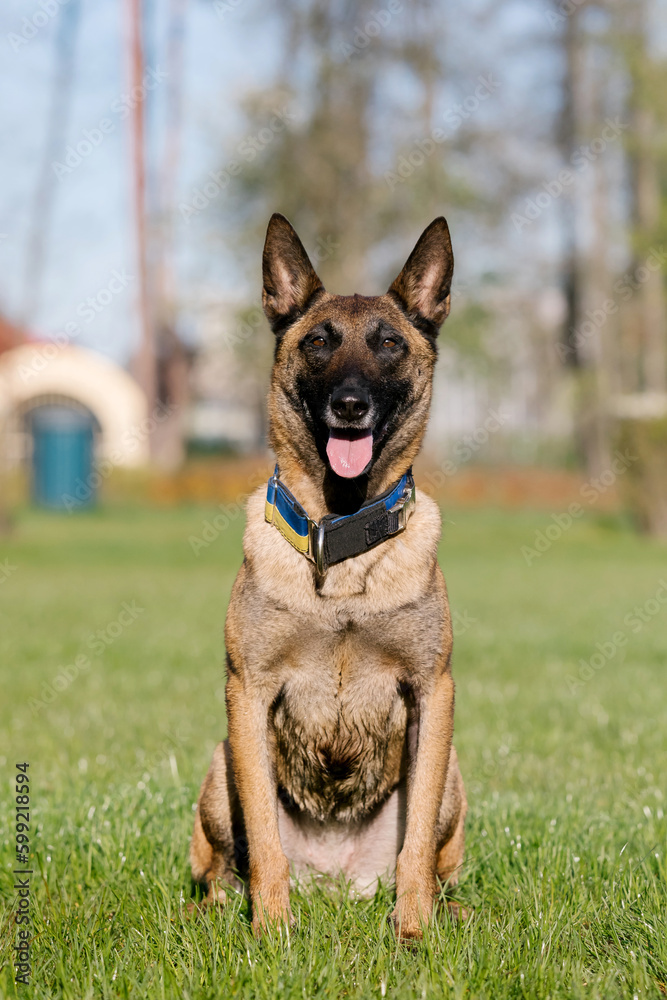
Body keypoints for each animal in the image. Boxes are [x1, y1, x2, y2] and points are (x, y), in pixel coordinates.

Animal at [190, 211, 468, 936]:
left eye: (389, 345)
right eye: (318, 342)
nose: (349, 405)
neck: (342, 540)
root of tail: (337, 882)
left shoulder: (432, 692)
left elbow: (414, 842)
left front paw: (413, 931)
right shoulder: (247, 694)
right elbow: (263, 835)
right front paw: (271, 933)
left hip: (453, 773)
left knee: (436, 861)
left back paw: (445, 909)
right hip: (219, 766)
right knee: (218, 868)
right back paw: (223, 908)